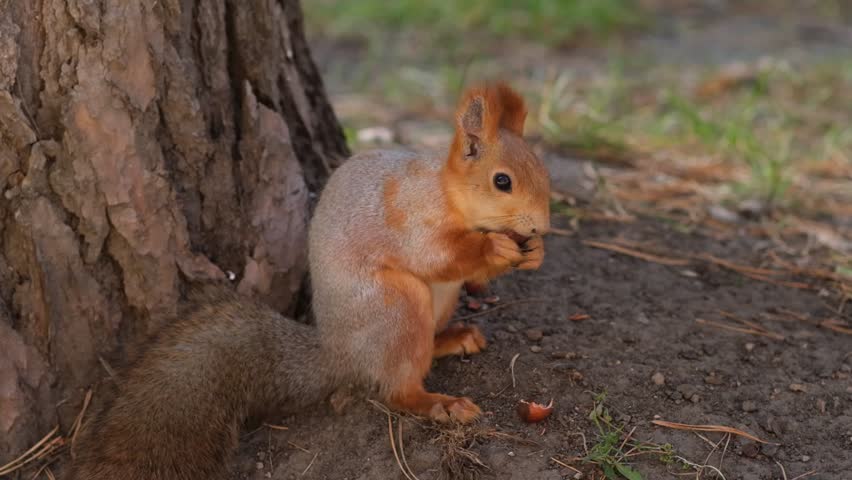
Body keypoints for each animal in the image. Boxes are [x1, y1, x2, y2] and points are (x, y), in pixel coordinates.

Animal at [64, 82, 550, 479]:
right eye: (501, 181)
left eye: (543, 172)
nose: (543, 225)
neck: (449, 194)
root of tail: (337, 351)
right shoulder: (411, 217)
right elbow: (435, 255)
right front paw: (495, 250)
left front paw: (533, 253)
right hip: (396, 306)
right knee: (395, 387)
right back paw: (438, 403)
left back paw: (454, 338)